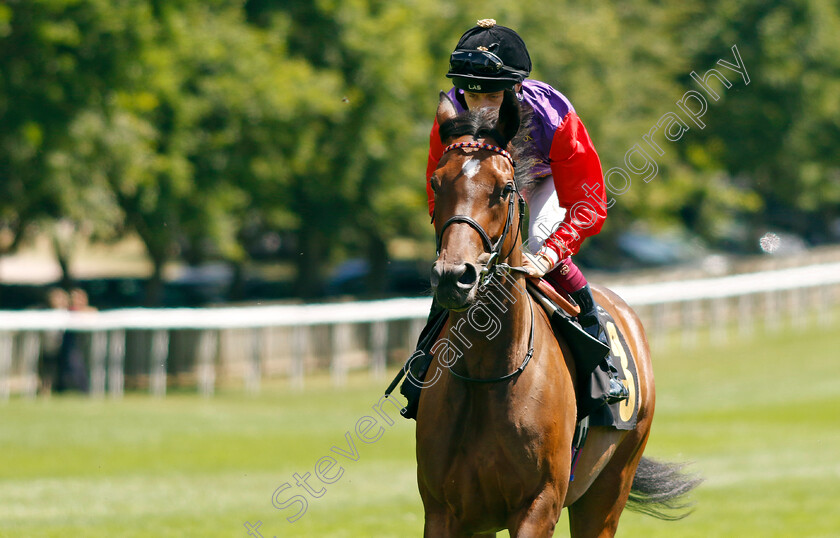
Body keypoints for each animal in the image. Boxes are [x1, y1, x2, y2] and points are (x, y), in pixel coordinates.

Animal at [416, 93, 700, 536]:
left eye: (504, 189)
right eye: (435, 183)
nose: (452, 277)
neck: (486, 373)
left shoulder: (539, 504)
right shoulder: (445, 510)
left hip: (610, 485)